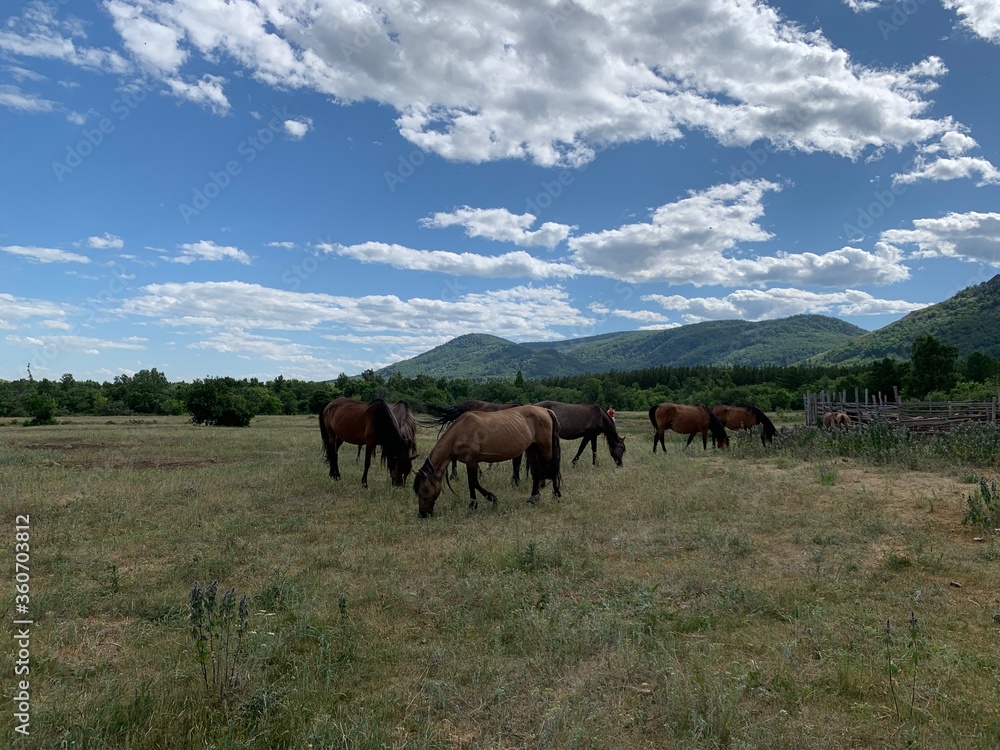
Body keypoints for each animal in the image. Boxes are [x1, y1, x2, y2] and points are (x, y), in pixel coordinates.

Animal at [410, 408, 560, 520]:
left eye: (424, 489)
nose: (423, 513)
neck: (460, 431)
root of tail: (545, 410)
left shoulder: (471, 461)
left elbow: (473, 483)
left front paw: (482, 502)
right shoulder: (470, 462)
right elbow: (474, 483)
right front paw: (484, 501)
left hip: (546, 447)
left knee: (553, 470)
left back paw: (556, 494)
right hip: (531, 449)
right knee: (537, 472)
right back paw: (533, 498)